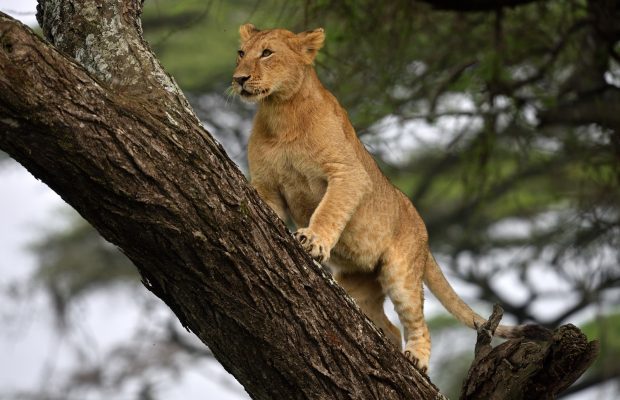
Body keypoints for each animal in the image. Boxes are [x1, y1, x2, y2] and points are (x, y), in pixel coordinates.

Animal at [231, 22, 548, 372]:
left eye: (267, 53)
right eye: (241, 53)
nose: (239, 79)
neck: (280, 111)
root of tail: (424, 234)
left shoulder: (349, 174)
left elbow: (329, 209)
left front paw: (313, 240)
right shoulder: (266, 186)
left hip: (401, 271)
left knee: (416, 321)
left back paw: (417, 360)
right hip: (357, 283)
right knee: (389, 329)